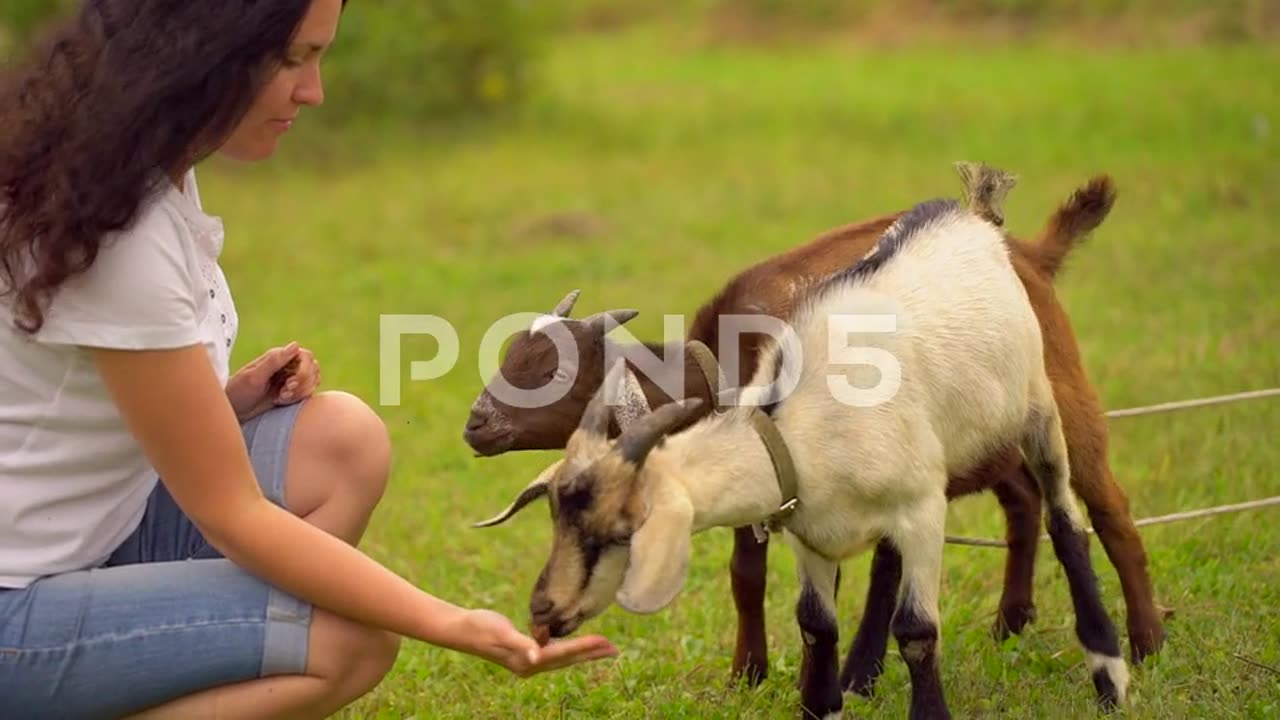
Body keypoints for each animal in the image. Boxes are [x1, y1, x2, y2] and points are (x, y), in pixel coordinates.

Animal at [465, 174, 1167, 691]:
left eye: (550, 370)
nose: (475, 425)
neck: (724, 359)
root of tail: (1030, 254)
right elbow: (750, 575)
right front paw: (751, 674)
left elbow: (801, 580)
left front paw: (793, 676)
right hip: (981, 438)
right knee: (1020, 501)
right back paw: (1009, 623)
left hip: (1060, 401)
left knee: (1109, 511)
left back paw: (1146, 641)